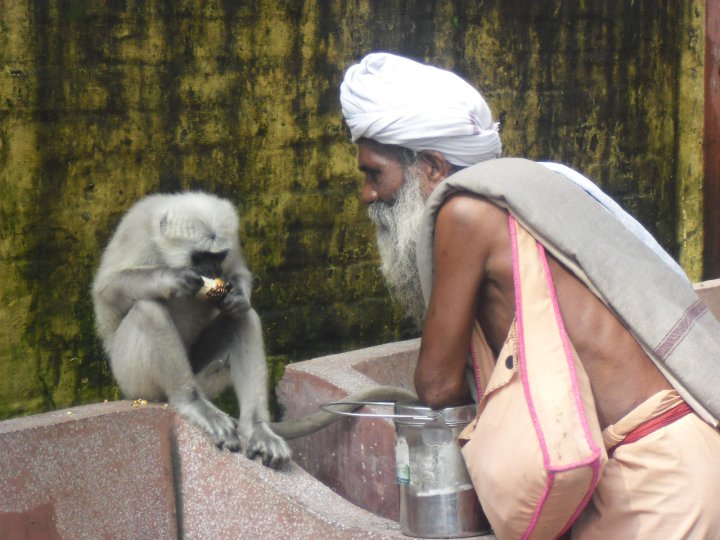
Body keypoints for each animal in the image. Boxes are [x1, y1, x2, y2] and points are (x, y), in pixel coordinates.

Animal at [93, 193, 290, 468]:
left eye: (217, 257)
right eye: (199, 257)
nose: (212, 272)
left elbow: (238, 277)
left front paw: (238, 296)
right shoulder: (136, 230)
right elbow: (106, 291)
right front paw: (172, 279)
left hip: (202, 375)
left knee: (242, 317)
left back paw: (258, 428)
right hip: (132, 379)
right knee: (148, 309)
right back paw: (191, 402)